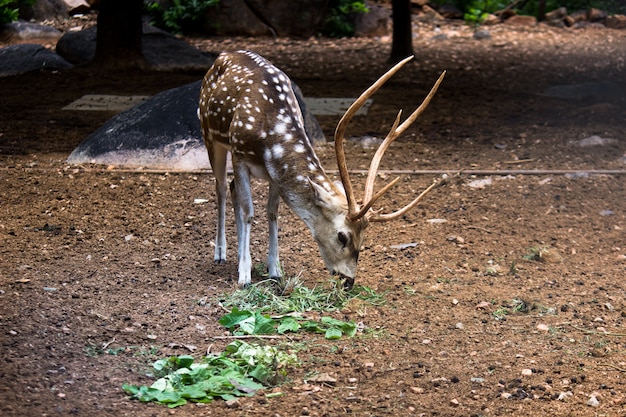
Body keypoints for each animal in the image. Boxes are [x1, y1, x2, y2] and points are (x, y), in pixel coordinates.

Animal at [197, 50, 442, 288]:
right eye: (342, 236)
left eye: (363, 238)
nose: (348, 281)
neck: (270, 133)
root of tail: (222, 56)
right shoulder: (239, 154)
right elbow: (249, 212)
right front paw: (245, 277)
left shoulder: (274, 173)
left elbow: (272, 212)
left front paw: (275, 271)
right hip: (209, 134)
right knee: (220, 187)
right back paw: (220, 254)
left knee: (232, 187)